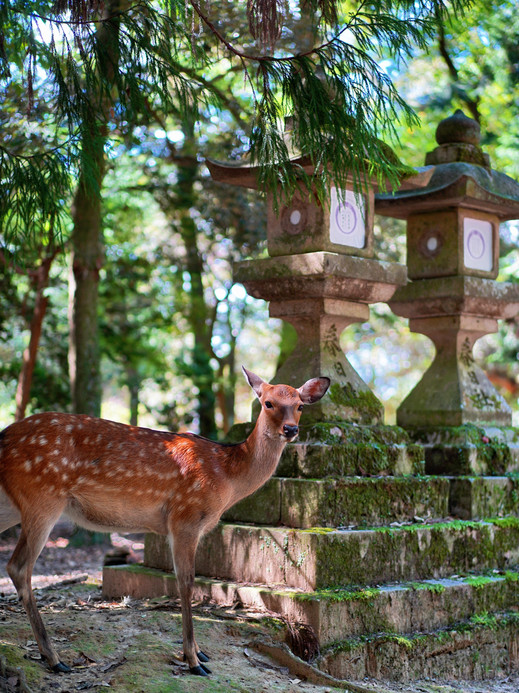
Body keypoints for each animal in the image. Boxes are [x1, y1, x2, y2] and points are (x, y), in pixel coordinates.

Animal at [0, 367, 329, 676]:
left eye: (300, 405)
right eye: (268, 402)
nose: (290, 429)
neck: (227, 476)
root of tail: (4, 436)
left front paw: (200, 652)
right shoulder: (185, 518)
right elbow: (186, 583)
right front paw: (193, 660)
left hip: (15, 504)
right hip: (43, 497)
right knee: (18, 566)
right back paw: (54, 658)